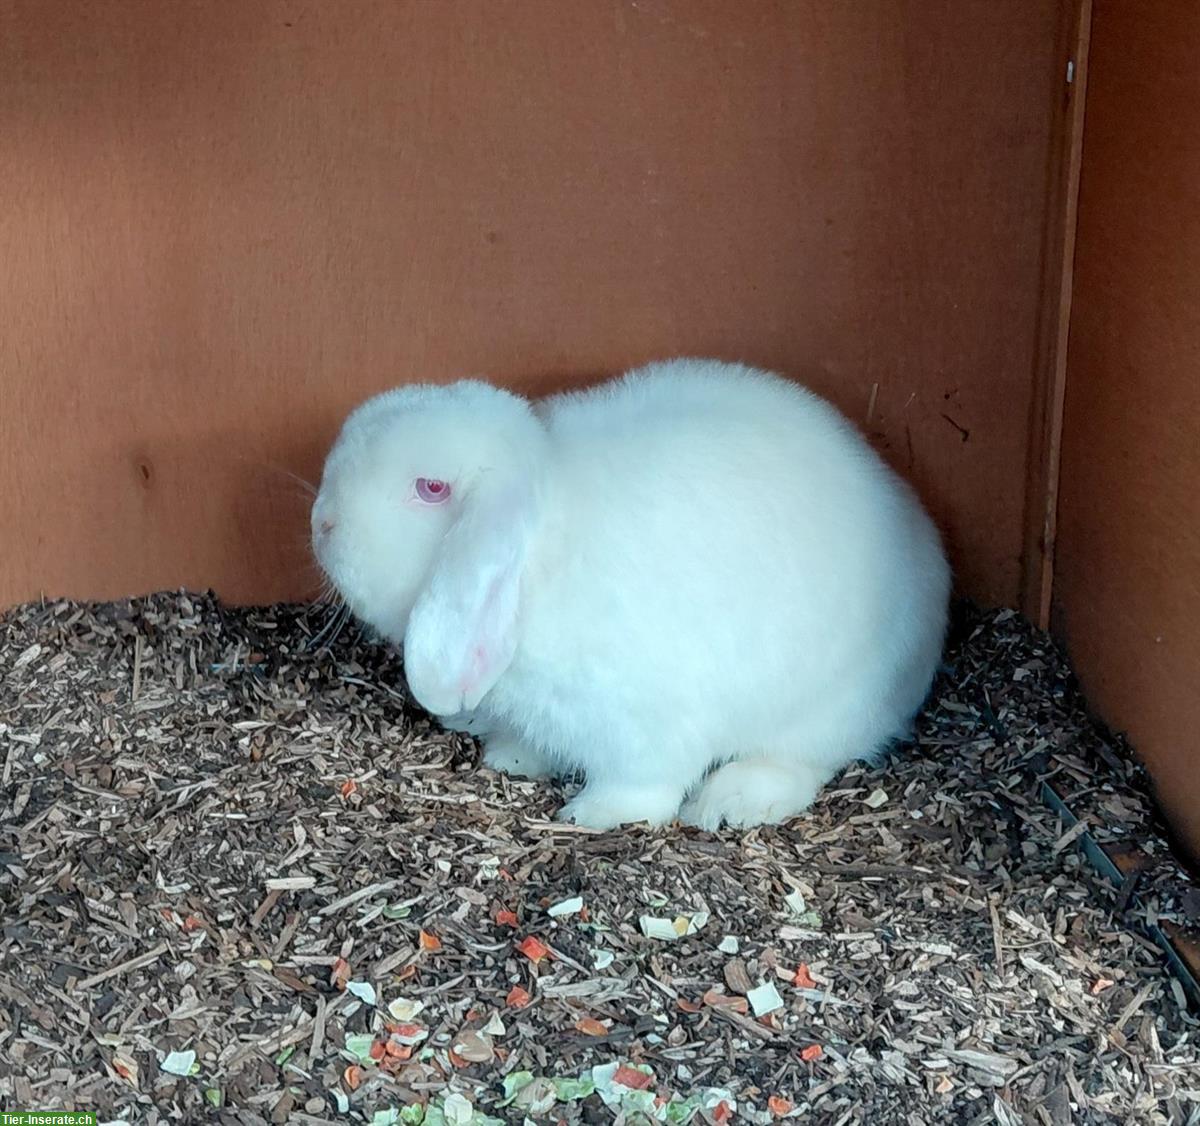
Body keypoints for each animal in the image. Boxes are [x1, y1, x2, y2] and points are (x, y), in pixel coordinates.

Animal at [310, 358, 951, 830]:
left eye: (431, 488)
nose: (321, 522)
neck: (539, 555)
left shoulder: (645, 726)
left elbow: (643, 787)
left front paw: (591, 814)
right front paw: (510, 757)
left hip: (827, 707)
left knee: (803, 761)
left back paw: (730, 803)